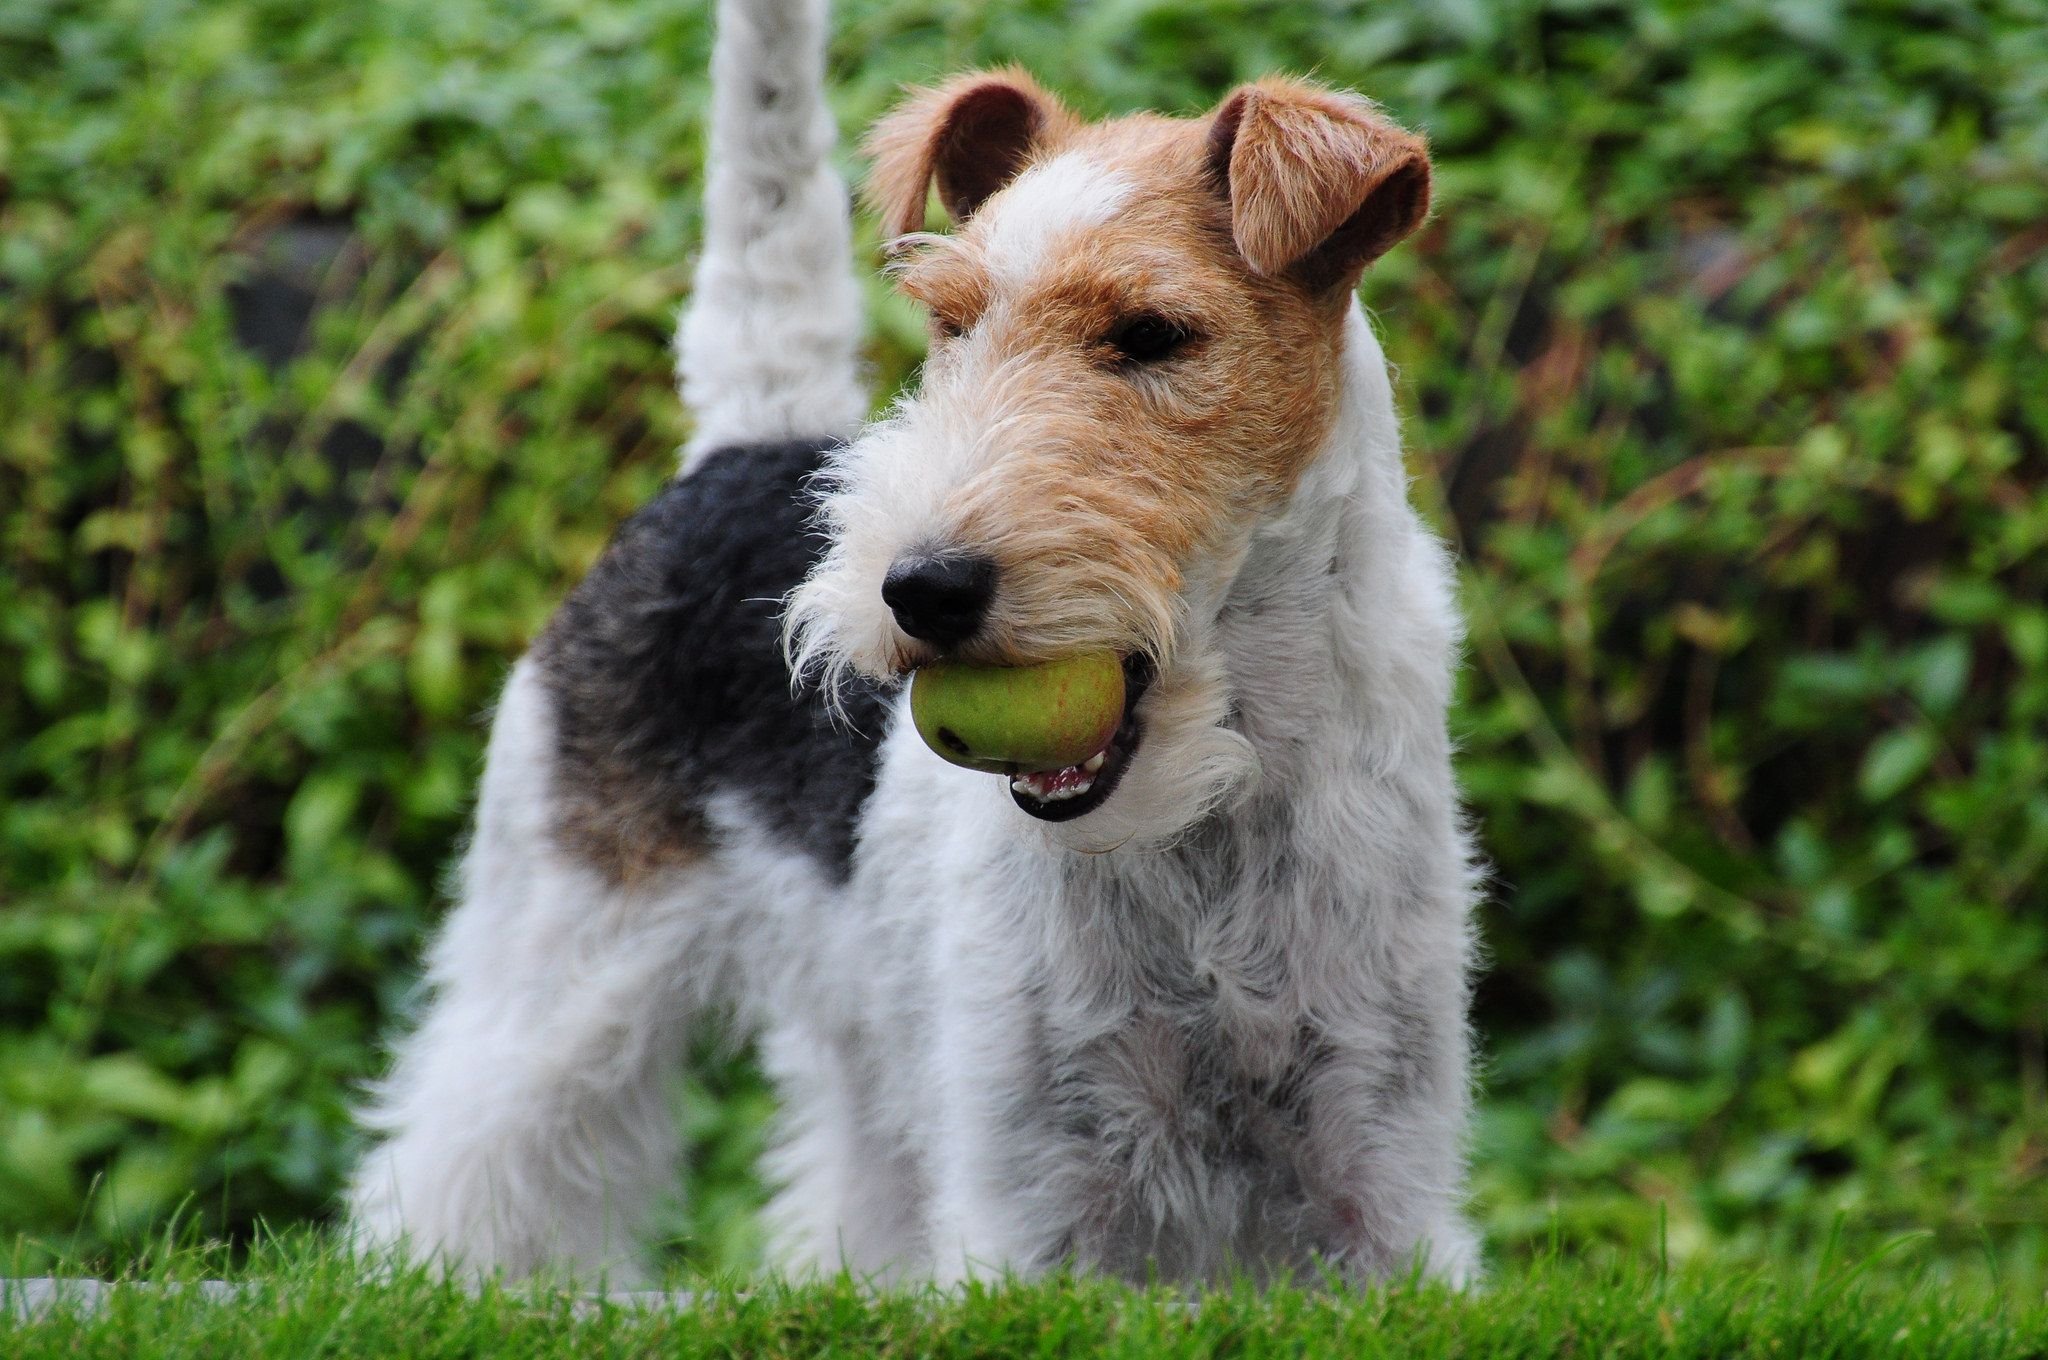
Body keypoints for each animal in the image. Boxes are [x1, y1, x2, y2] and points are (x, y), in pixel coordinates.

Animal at [344, 0, 1482, 1286]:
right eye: (950, 322)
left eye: (1153, 333)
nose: (922, 588)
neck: (1206, 820)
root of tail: (744, 441)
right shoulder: (1032, 1195)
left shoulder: (1379, 1182)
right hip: (558, 951)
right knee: (460, 1150)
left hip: (859, 1047)